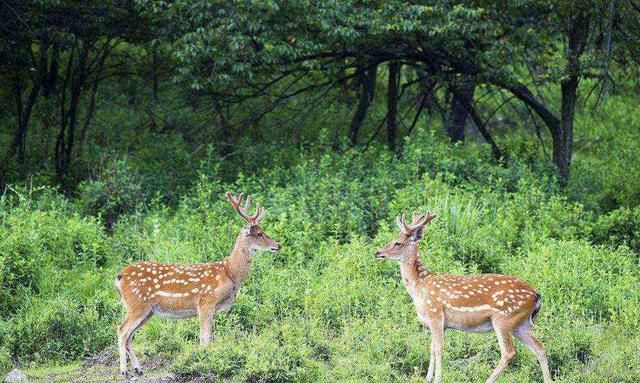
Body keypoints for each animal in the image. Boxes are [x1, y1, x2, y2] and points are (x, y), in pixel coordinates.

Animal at [115, 194, 280, 380]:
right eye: (260, 233)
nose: (278, 245)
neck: (229, 273)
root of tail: (119, 277)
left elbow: (206, 338)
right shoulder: (206, 302)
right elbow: (206, 338)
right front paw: (205, 364)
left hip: (147, 311)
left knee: (129, 335)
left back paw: (138, 369)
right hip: (137, 304)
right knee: (122, 331)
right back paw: (125, 371)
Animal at [378, 213, 552, 383]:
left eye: (397, 243)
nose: (378, 252)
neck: (419, 286)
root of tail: (537, 296)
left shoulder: (435, 314)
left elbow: (439, 348)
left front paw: (438, 379)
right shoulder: (440, 324)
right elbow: (432, 348)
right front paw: (427, 378)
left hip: (504, 319)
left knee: (509, 352)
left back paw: (488, 380)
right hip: (521, 324)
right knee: (539, 347)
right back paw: (548, 380)